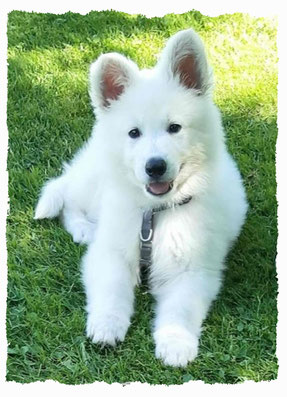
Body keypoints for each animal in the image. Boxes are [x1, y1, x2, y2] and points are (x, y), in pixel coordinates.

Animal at [35, 27, 249, 366]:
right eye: (134, 133)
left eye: (175, 128)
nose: (155, 166)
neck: (154, 213)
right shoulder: (110, 252)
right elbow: (111, 289)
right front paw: (107, 324)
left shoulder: (194, 269)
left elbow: (180, 309)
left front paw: (175, 341)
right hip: (94, 181)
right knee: (67, 193)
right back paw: (83, 228)